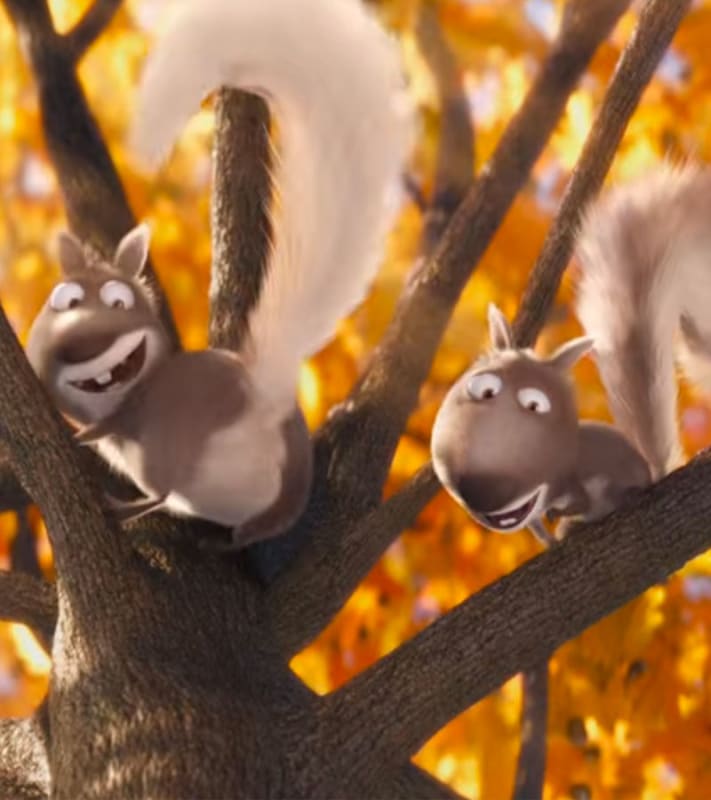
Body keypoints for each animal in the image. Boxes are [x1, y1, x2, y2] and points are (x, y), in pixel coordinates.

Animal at [25, 0, 413, 548]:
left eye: (121, 300)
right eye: (64, 299)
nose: (85, 344)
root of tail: (264, 400)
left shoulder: (155, 410)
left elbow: (120, 424)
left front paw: (91, 433)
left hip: (180, 443)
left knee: (167, 487)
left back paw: (134, 506)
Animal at [430, 304, 651, 545]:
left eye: (535, 404)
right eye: (485, 390)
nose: (482, 492)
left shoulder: (572, 483)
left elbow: (579, 502)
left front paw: (554, 515)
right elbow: (539, 529)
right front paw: (551, 540)